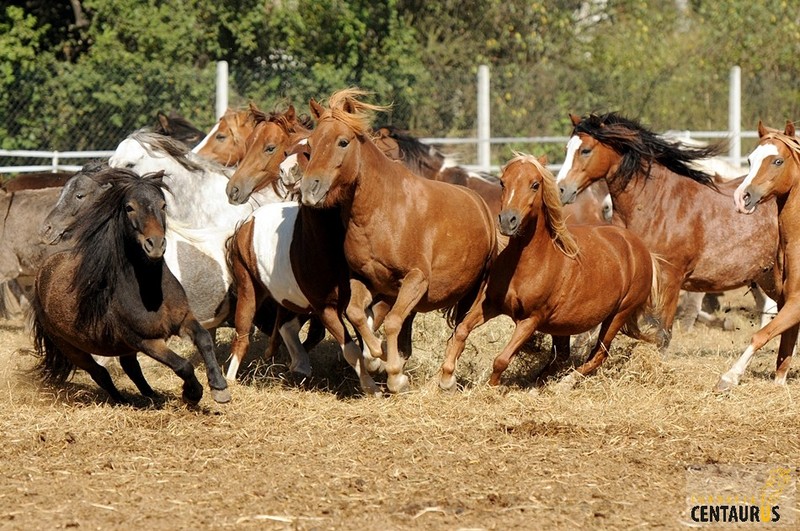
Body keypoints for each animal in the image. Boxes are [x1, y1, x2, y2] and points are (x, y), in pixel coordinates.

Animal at [31, 168, 230, 406]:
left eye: (163, 205)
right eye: (129, 207)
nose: (155, 244)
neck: (151, 292)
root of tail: (41, 273)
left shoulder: (184, 319)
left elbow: (204, 339)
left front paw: (219, 387)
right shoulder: (145, 341)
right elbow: (182, 365)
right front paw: (192, 393)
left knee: (130, 367)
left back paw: (152, 396)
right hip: (71, 348)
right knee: (100, 373)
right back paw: (122, 400)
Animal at [300, 89, 496, 392]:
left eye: (343, 142)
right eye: (310, 144)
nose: (309, 189)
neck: (383, 210)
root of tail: (478, 203)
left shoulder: (415, 279)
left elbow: (392, 322)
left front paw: (395, 376)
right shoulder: (363, 279)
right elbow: (356, 314)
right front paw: (376, 357)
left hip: (476, 290)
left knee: (461, 329)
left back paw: (447, 377)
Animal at [438, 154, 664, 390]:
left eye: (535, 185)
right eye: (502, 182)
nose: (507, 221)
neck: (528, 263)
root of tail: (643, 250)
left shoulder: (530, 320)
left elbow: (501, 359)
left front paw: (492, 389)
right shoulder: (490, 304)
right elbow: (461, 330)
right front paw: (447, 379)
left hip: (618, 314)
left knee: (599, 354)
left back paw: (563, 384)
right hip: (563, 324)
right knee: (562, 356)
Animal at [556, 111, 776, 350]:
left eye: (585, 150)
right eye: (566, 149)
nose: (561, 189)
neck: (656, 204)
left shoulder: (670, 278)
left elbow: (663, 332)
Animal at [716, 121, 800, 390]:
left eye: (778, 161)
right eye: (750, 160)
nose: (742, 197)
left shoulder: (796, 303)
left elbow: (761, 335)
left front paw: (729, 376)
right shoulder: (786, 302)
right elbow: (783, 353)